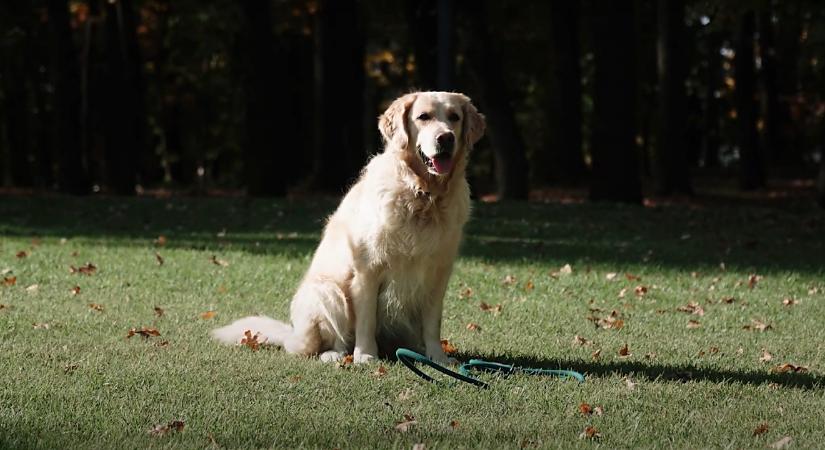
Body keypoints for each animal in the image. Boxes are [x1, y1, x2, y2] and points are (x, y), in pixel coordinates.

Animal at [211, 92, 482, 366]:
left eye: (454, 117)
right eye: (423, 117)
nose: (446, 137)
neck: (423, 195)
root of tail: (293, 334)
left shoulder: (438, 272)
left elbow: (432, 323)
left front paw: (438, 358)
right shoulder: (367, 269)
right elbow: (366, 320)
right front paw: (366, 356)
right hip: (327, 293)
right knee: (325, 343)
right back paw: (336, 355)